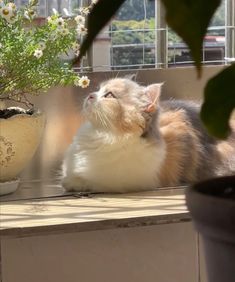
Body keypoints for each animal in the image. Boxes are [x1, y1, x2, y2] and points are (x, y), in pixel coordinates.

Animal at [61, 76, 234, 192]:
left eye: (109, 95)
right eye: (98, 90)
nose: (90, 95)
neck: (103, 134)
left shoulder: (114, 182)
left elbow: (87, 181)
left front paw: (73, 183)